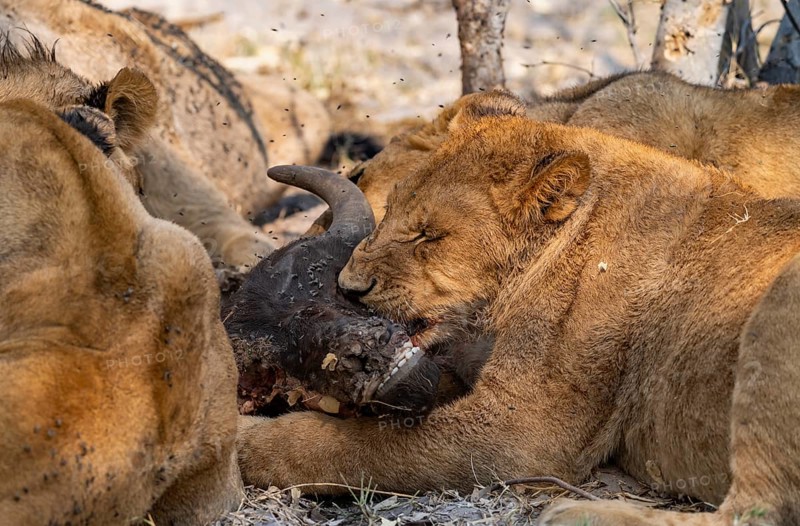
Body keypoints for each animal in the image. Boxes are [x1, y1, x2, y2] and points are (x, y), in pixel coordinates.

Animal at [237, 91, 800, 526]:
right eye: (390, 209)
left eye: (429, 235)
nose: (348, 286)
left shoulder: (522, 428)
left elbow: (343, 445)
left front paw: (240, 441)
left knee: (755, 510)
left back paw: (576, 513)